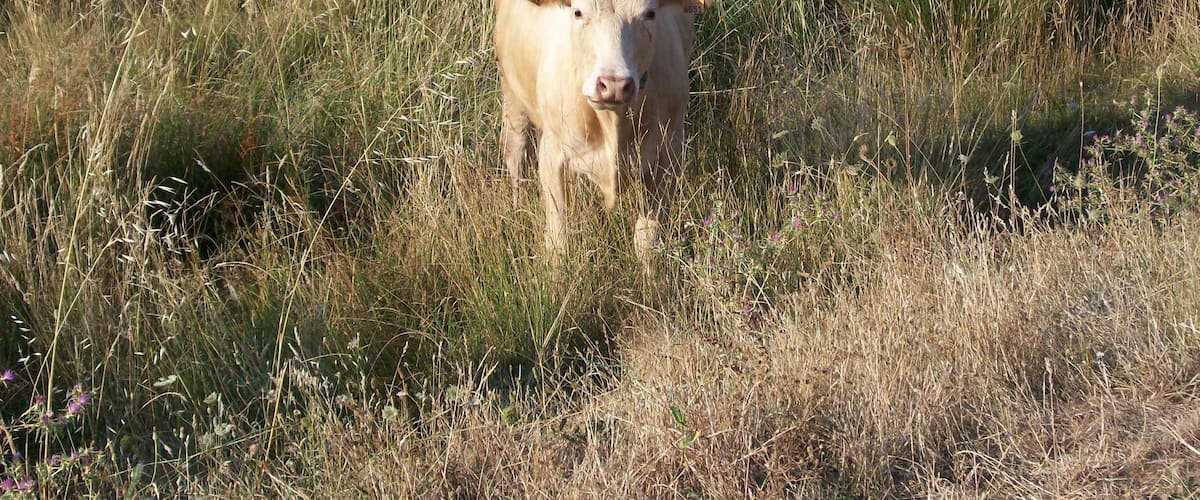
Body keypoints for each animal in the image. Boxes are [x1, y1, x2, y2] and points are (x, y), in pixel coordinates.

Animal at [494, 0, 706, 272]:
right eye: (577, 12)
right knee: (516, 155)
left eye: (649, 14)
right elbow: (559, 240)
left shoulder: (668, 152)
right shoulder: (553, 152)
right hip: (512, 93)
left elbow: (648, 240)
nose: (613, 85)